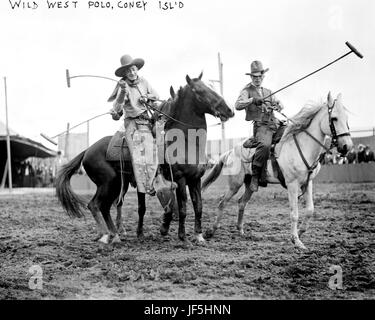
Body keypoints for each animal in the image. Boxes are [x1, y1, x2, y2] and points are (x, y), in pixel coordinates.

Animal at [55, 74, 235, 245]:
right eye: (200, 91)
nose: (229, 110)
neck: (185, 142)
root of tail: (87, 150)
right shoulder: (180, 179)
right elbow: (183, 208)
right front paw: (183, 237)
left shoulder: (195, 179)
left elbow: (198, 207)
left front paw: (199, 236)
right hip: (108, 183)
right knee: (96, 205)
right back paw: (107, 235)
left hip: (119, 184)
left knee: (107, 206)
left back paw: (114, 234)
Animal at [203, 92, 352, 250]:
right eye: (334, 118)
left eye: (346, 118)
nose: (347, 146)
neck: (302, 146)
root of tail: (230, 152)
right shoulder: (292, 184)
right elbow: (294, 213)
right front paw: (296, 240)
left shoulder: (307, 183)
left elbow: (310, 210)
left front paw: (300, 232)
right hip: (235, 184)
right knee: (222, 202)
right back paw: (211, 231)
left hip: (249, 184)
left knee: (241, 203)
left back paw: (241, 231)